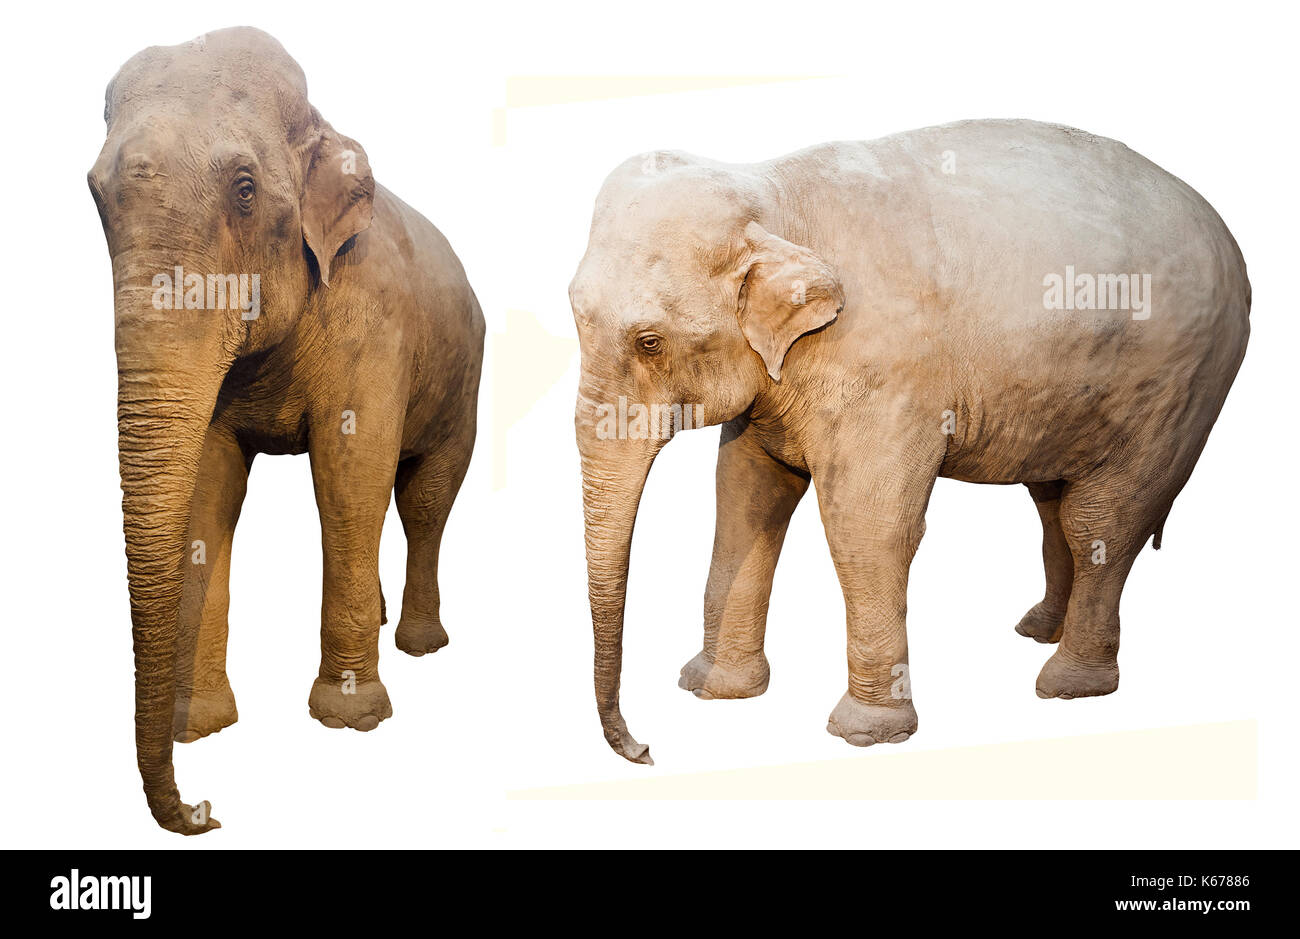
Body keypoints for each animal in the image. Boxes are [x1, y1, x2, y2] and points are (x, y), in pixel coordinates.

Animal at [88, 27, 484, 833]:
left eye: (245, 189)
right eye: (95, 194)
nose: (205, 808)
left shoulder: (374, 321)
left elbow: (349, 476)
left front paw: (351, 716)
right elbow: (209, 490)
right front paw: (200, 723)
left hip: (465, 381)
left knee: (425, 499)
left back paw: (419, 645)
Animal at [570, 119, 1250, 765]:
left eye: (649, 341)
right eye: (575, 315)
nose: (645, 750)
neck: (772, 191)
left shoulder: (888, 374)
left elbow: (867, 526)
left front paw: (865, 733)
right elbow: (745, 497)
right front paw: (714, 689)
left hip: (1180, 386)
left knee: (1100, 519)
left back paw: (1068, 683)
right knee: (1053, 503)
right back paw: (1038, 630)